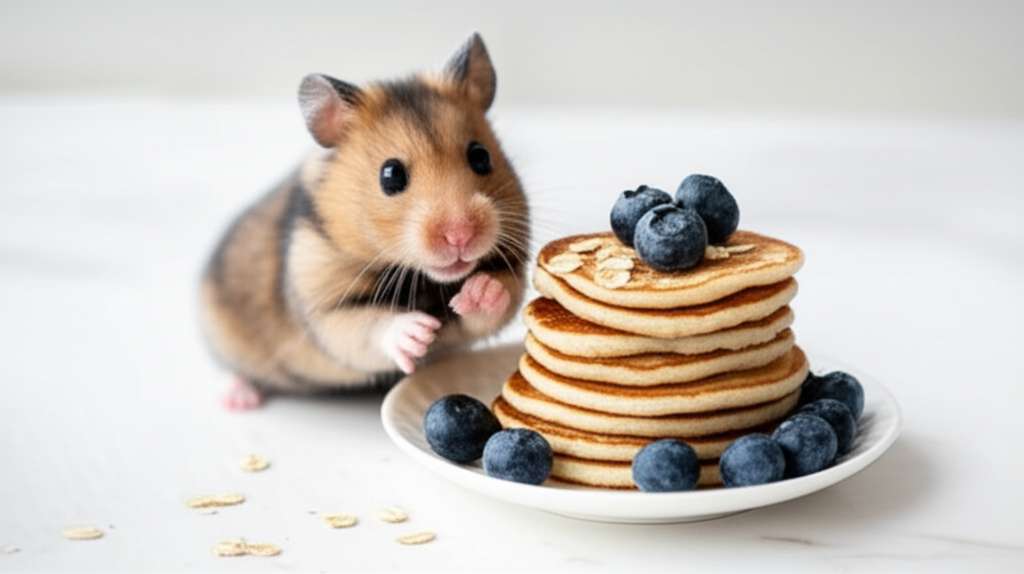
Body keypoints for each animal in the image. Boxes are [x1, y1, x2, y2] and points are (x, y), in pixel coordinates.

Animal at [199, 34, 529, 409]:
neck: (423, 278)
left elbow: (495, 304)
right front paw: (418, 332)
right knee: (237, 370)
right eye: (391, 175)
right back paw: (239, 399)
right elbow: (366, 326)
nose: (461, 236)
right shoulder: (325, 307)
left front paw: (479, 291)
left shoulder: (506, 277)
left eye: (481, 156)